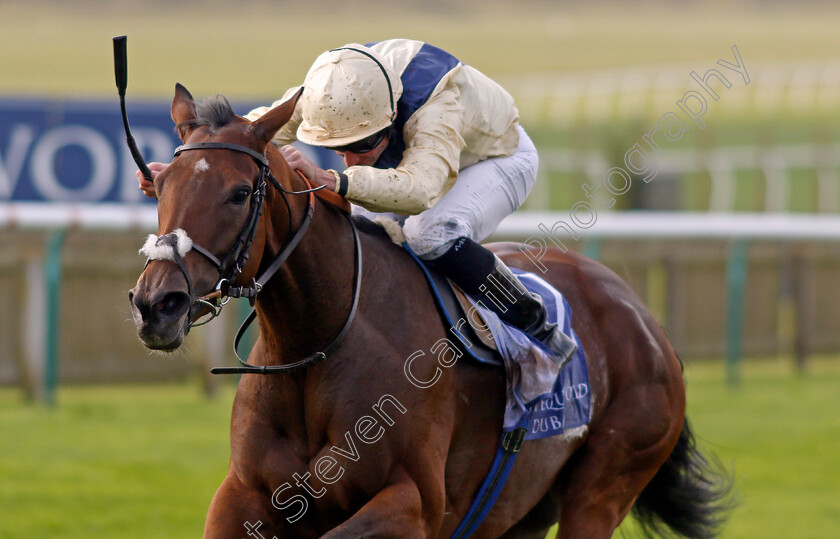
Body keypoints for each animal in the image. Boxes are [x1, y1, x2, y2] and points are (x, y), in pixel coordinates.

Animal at [130, 83, 728, 536]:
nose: (157, 303)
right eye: (158, 185)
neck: (318, 345)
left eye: (237, 194)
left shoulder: (414, 502)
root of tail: (642, 317)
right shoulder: (243, 494)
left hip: (605, 483)